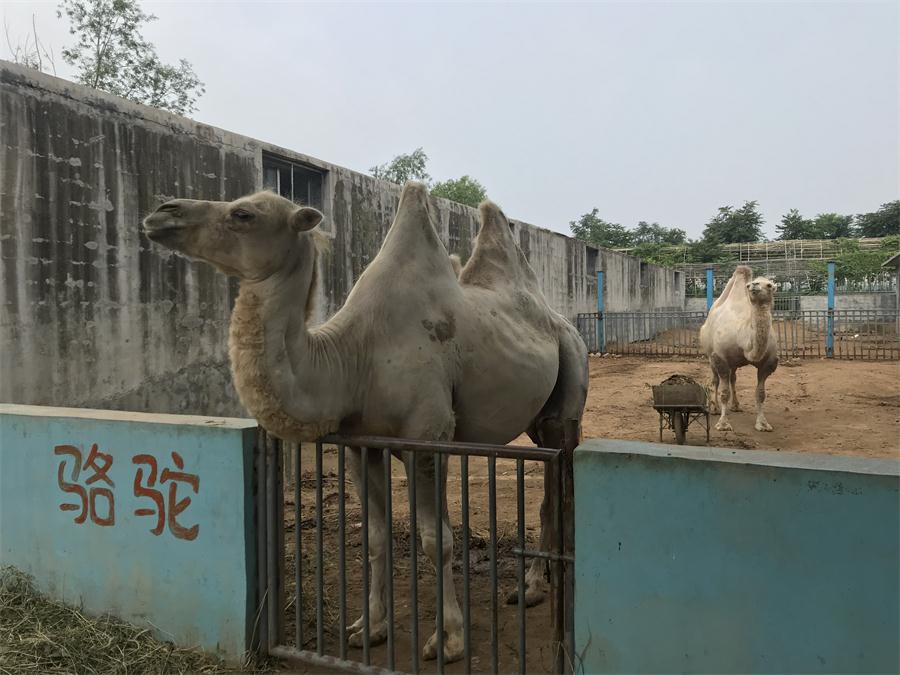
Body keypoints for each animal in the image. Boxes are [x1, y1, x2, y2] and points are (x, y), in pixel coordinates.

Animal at [143, 182, 588, 664]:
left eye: (244, 214)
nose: (162, 212)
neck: (352, 359)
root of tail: (563, 322)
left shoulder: (428, 438)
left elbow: (436, 539)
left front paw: (448, 640)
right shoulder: (361, 446)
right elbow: (375, 536)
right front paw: (367, 628)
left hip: (569, 389)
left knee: (558, 485)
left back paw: (537, 589)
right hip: (537, 419)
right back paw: (533, 587)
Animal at [700, 266, 776, 434]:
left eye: (769, 285)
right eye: (749, 285)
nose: (754, 285)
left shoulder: (768, 363)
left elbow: (761, 394)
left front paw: (763, 424)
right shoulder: (720, 358)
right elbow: (724, 392)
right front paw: (723, 424)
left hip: (733, 363)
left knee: (733, 378)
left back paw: (736, 405)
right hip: (710, 356)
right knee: (715, 380)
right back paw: (714, 408)